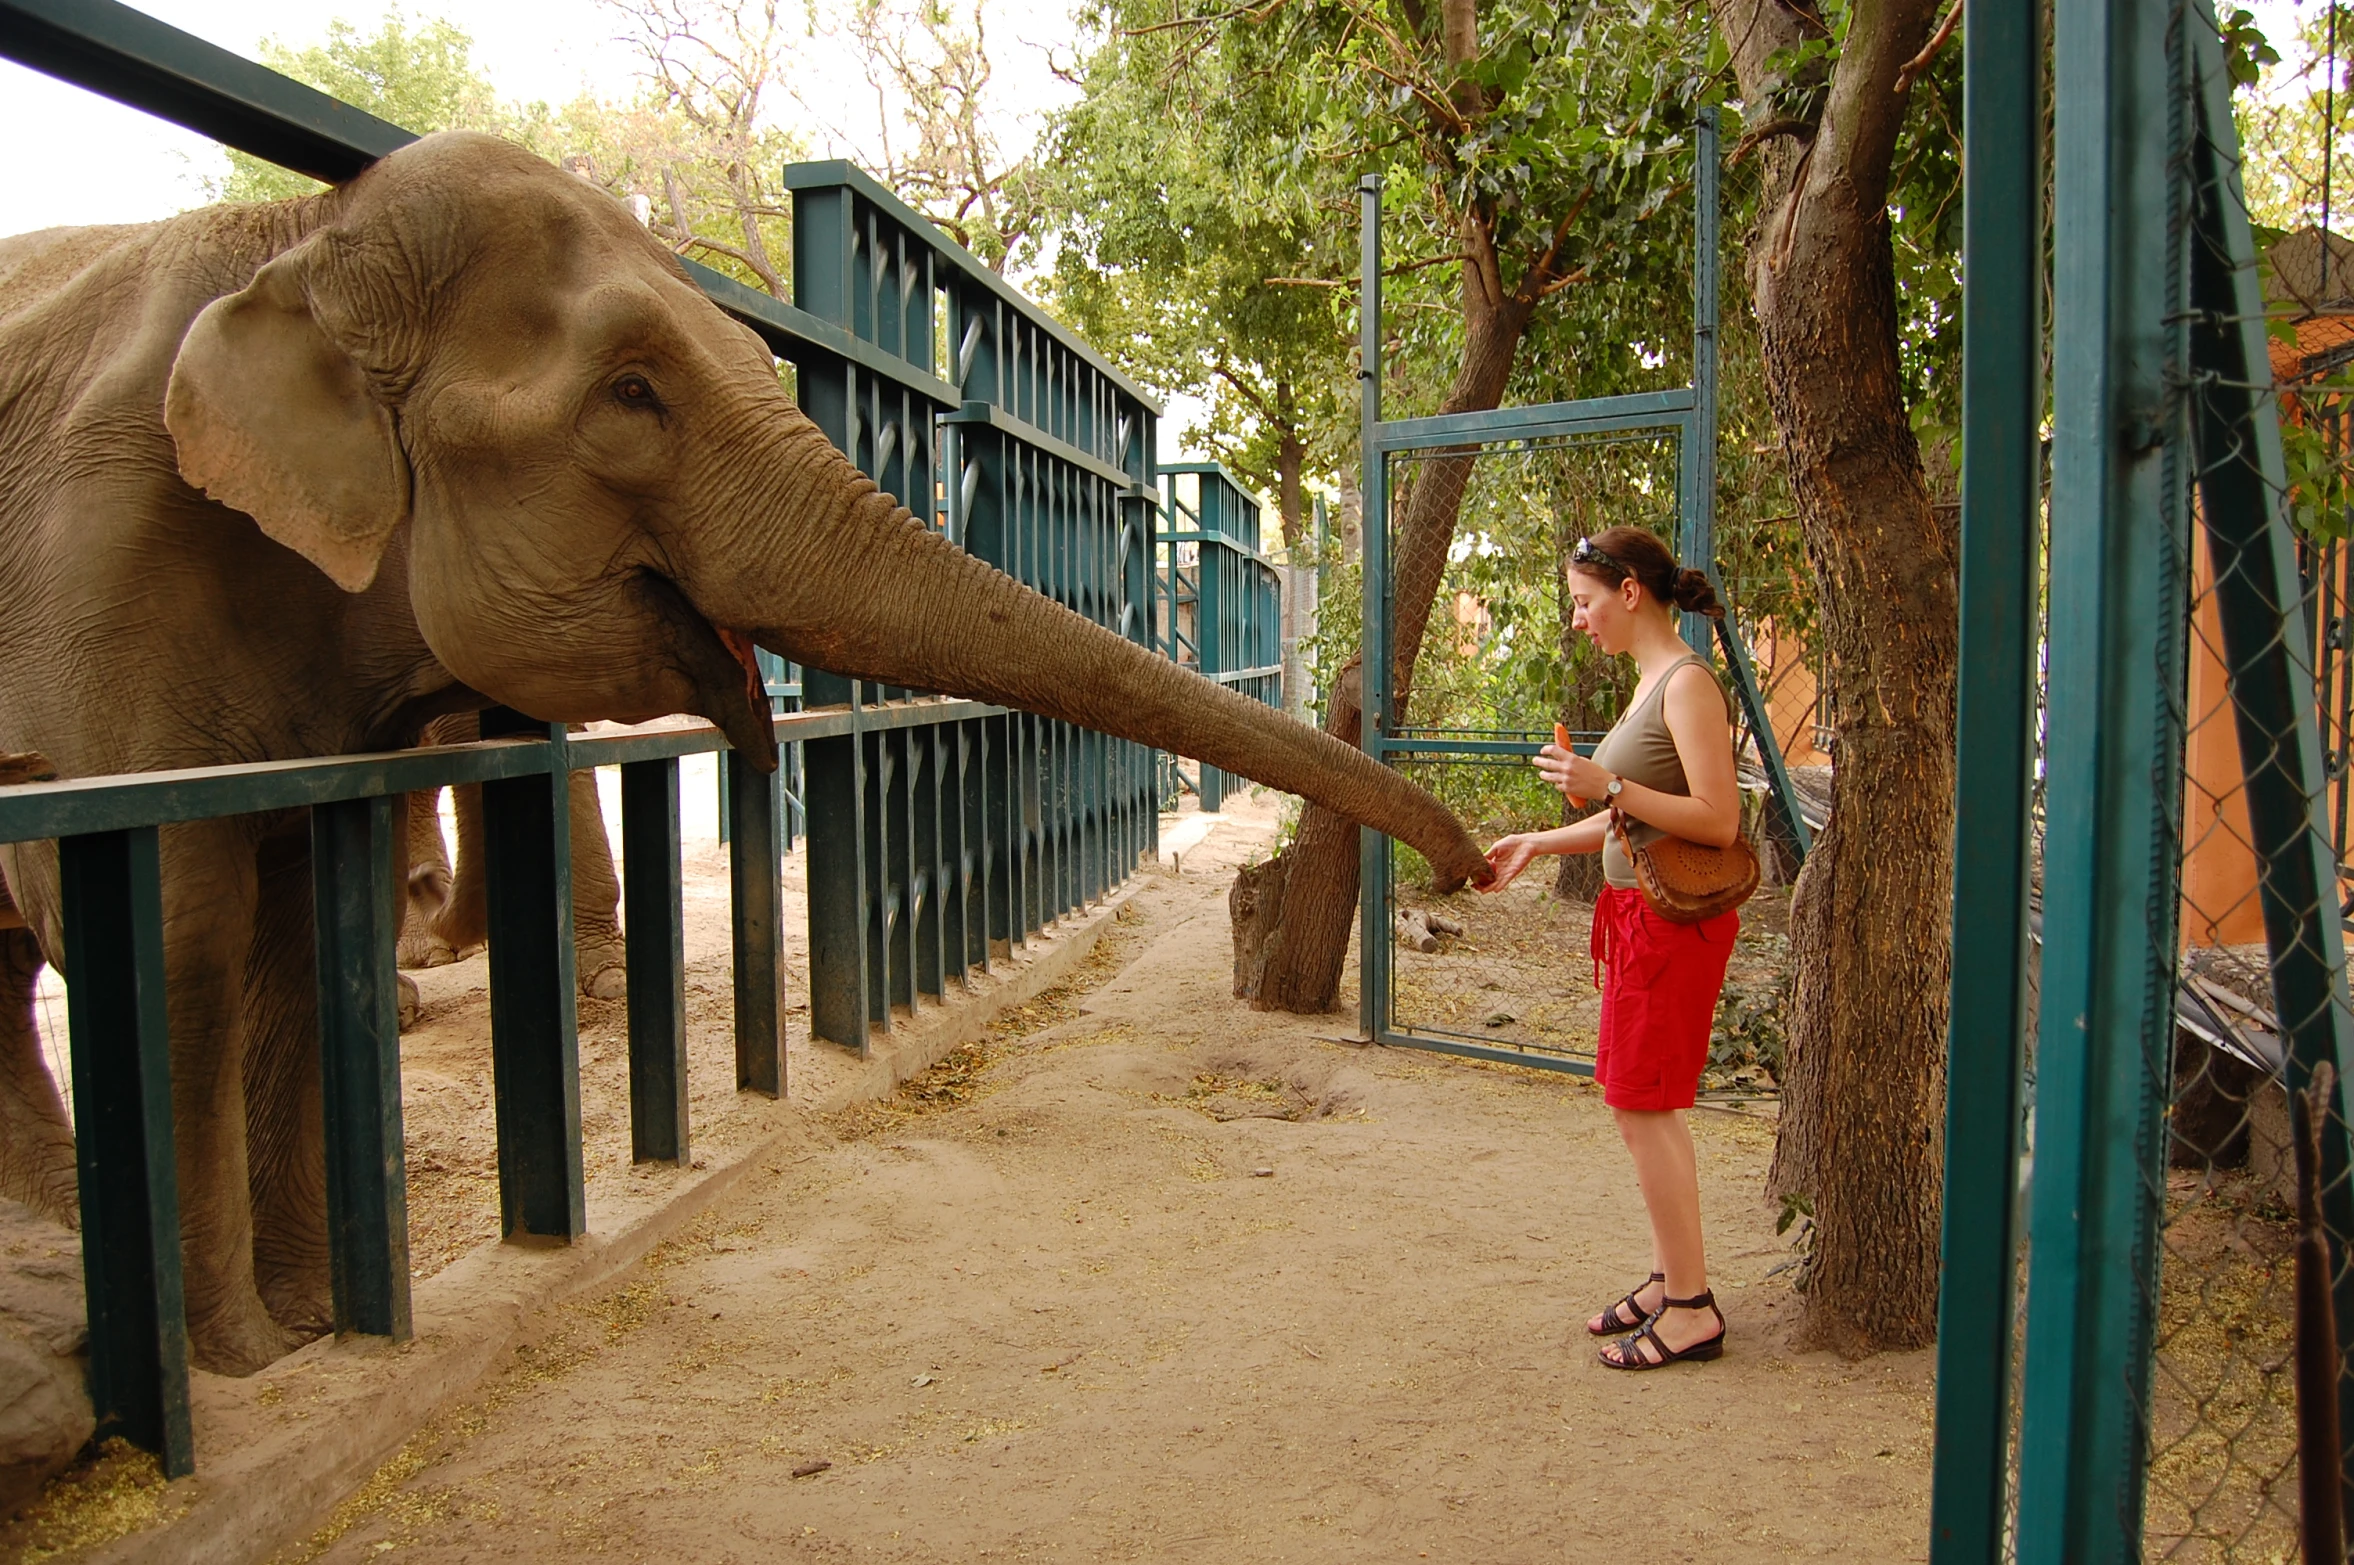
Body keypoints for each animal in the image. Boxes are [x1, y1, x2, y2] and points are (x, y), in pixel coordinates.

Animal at [0, 137, 1487, 1383]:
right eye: (631, 394)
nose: (1471, 866)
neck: (303, 243)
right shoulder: (108, 557)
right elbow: (178, 922)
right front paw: (251, 1359)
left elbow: (305, 922)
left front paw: (308, 1331)